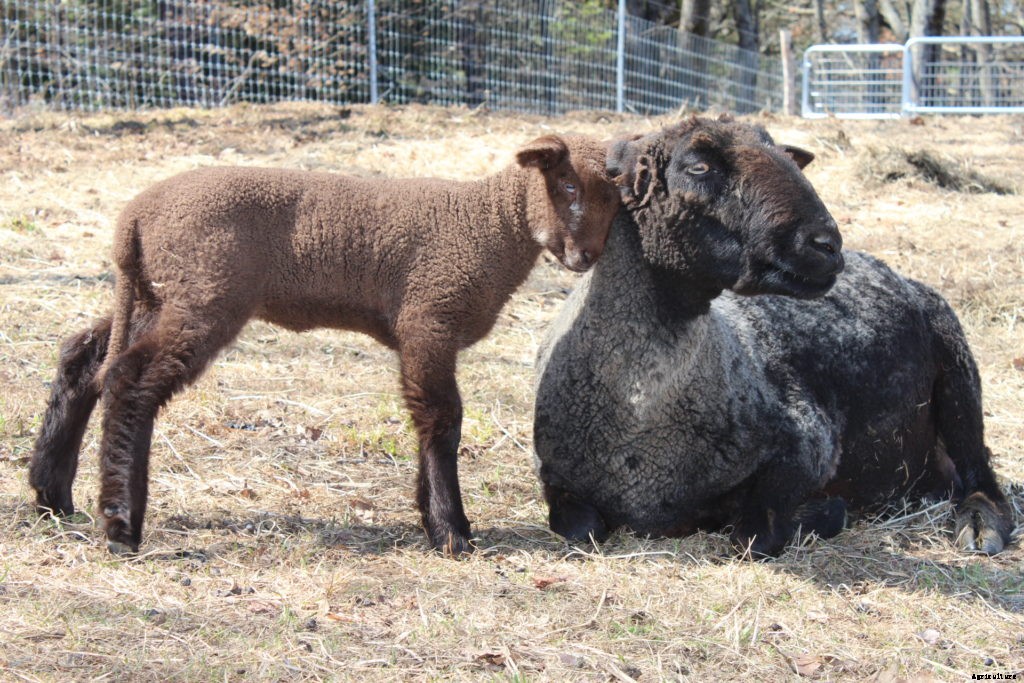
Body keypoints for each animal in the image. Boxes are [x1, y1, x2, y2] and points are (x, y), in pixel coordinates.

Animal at [28, 134, 621, 555]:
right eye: (567, 186)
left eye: (615, 199)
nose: (586, 258)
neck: (489, 225)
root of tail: (134, 220)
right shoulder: (427, 317)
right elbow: (441, 420)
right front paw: (450, 531)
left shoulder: (423, 327)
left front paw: (435, 520)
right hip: (204, 292)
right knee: (130, 381)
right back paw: (120, 525)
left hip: (160, 294)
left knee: (85, 359)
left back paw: (51, 496)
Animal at [532, 116, 1014, 558]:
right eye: (699, 166)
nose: (827, 244)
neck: (641, 414)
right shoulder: (555, 479)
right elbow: (580, 528)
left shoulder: (809, 444)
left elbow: (755, 534)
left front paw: (822, 513)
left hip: (959, 371)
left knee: (981, 471)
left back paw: (978, 526)